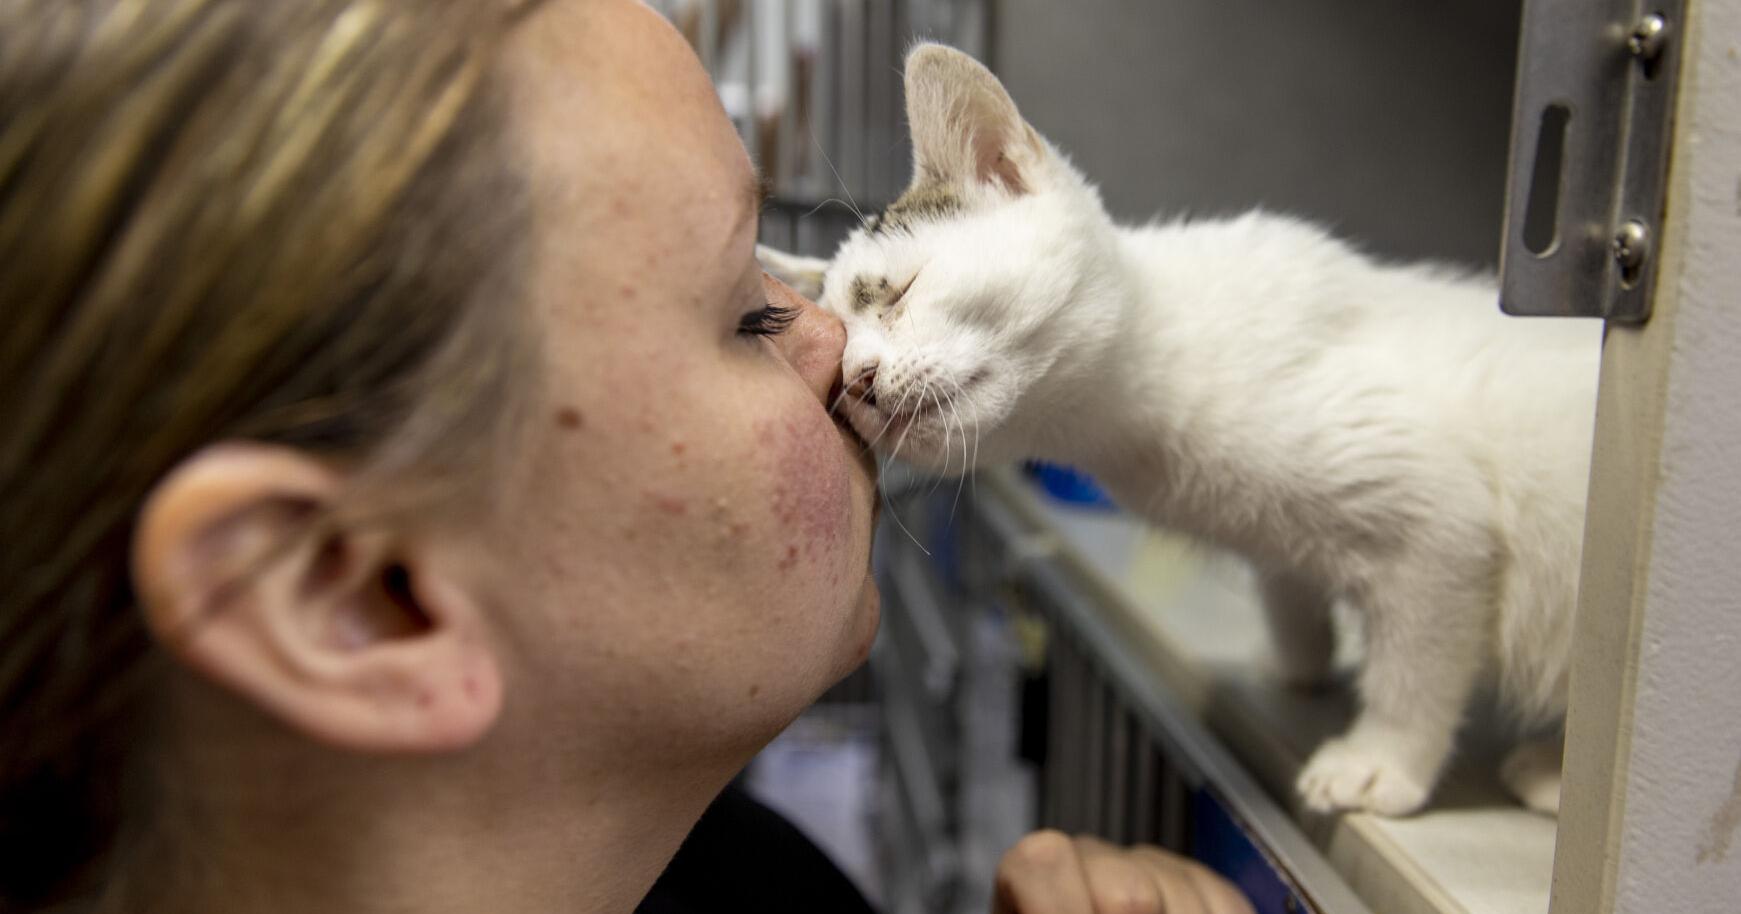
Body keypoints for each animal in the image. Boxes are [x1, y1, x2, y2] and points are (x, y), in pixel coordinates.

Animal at [769, 42, 1594, 814]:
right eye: (836, 365)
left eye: (901, 291)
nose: (859, 379)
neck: (1125, 418)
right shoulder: (1279, 541)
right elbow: (1285, 587)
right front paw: (1297, 662)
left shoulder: (1439, 527)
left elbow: (1416, 663)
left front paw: (1380, 762)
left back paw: (1548, 774)